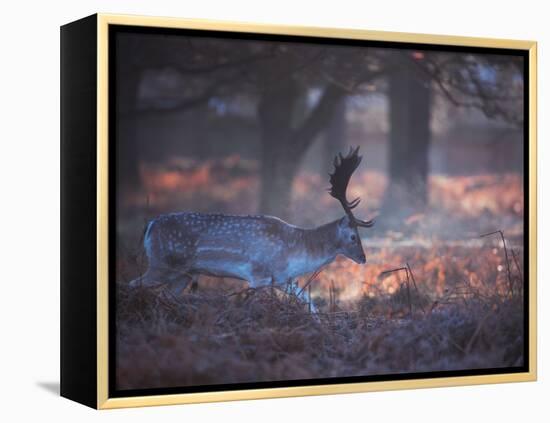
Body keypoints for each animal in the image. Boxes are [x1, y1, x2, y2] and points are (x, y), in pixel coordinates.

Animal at [132, 147, 376, 308]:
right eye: (354, 236)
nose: (363, 258)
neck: (296, 253)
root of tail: (150, 226)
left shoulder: (284, 280)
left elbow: (310, 305)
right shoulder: (258, 275)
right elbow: (246, 302)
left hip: (182, 274)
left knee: (164, 294)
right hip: (162, 263)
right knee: (133, 284)